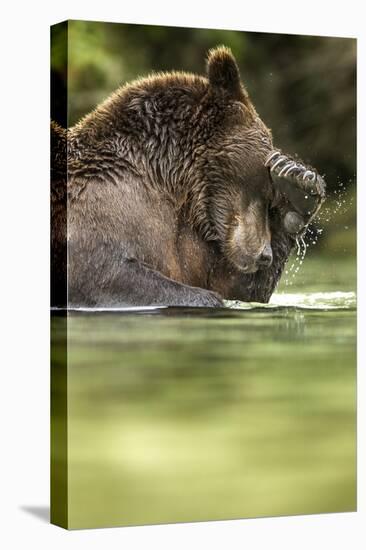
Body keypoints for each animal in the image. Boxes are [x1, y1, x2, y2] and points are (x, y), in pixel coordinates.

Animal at [50, 45, 326, 308]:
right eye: (264, 190)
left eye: (272, 198)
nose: (264, 255)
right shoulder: (98, 218)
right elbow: (107, 274)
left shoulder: (192, 241)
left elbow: (233, 285)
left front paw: (299, 185)